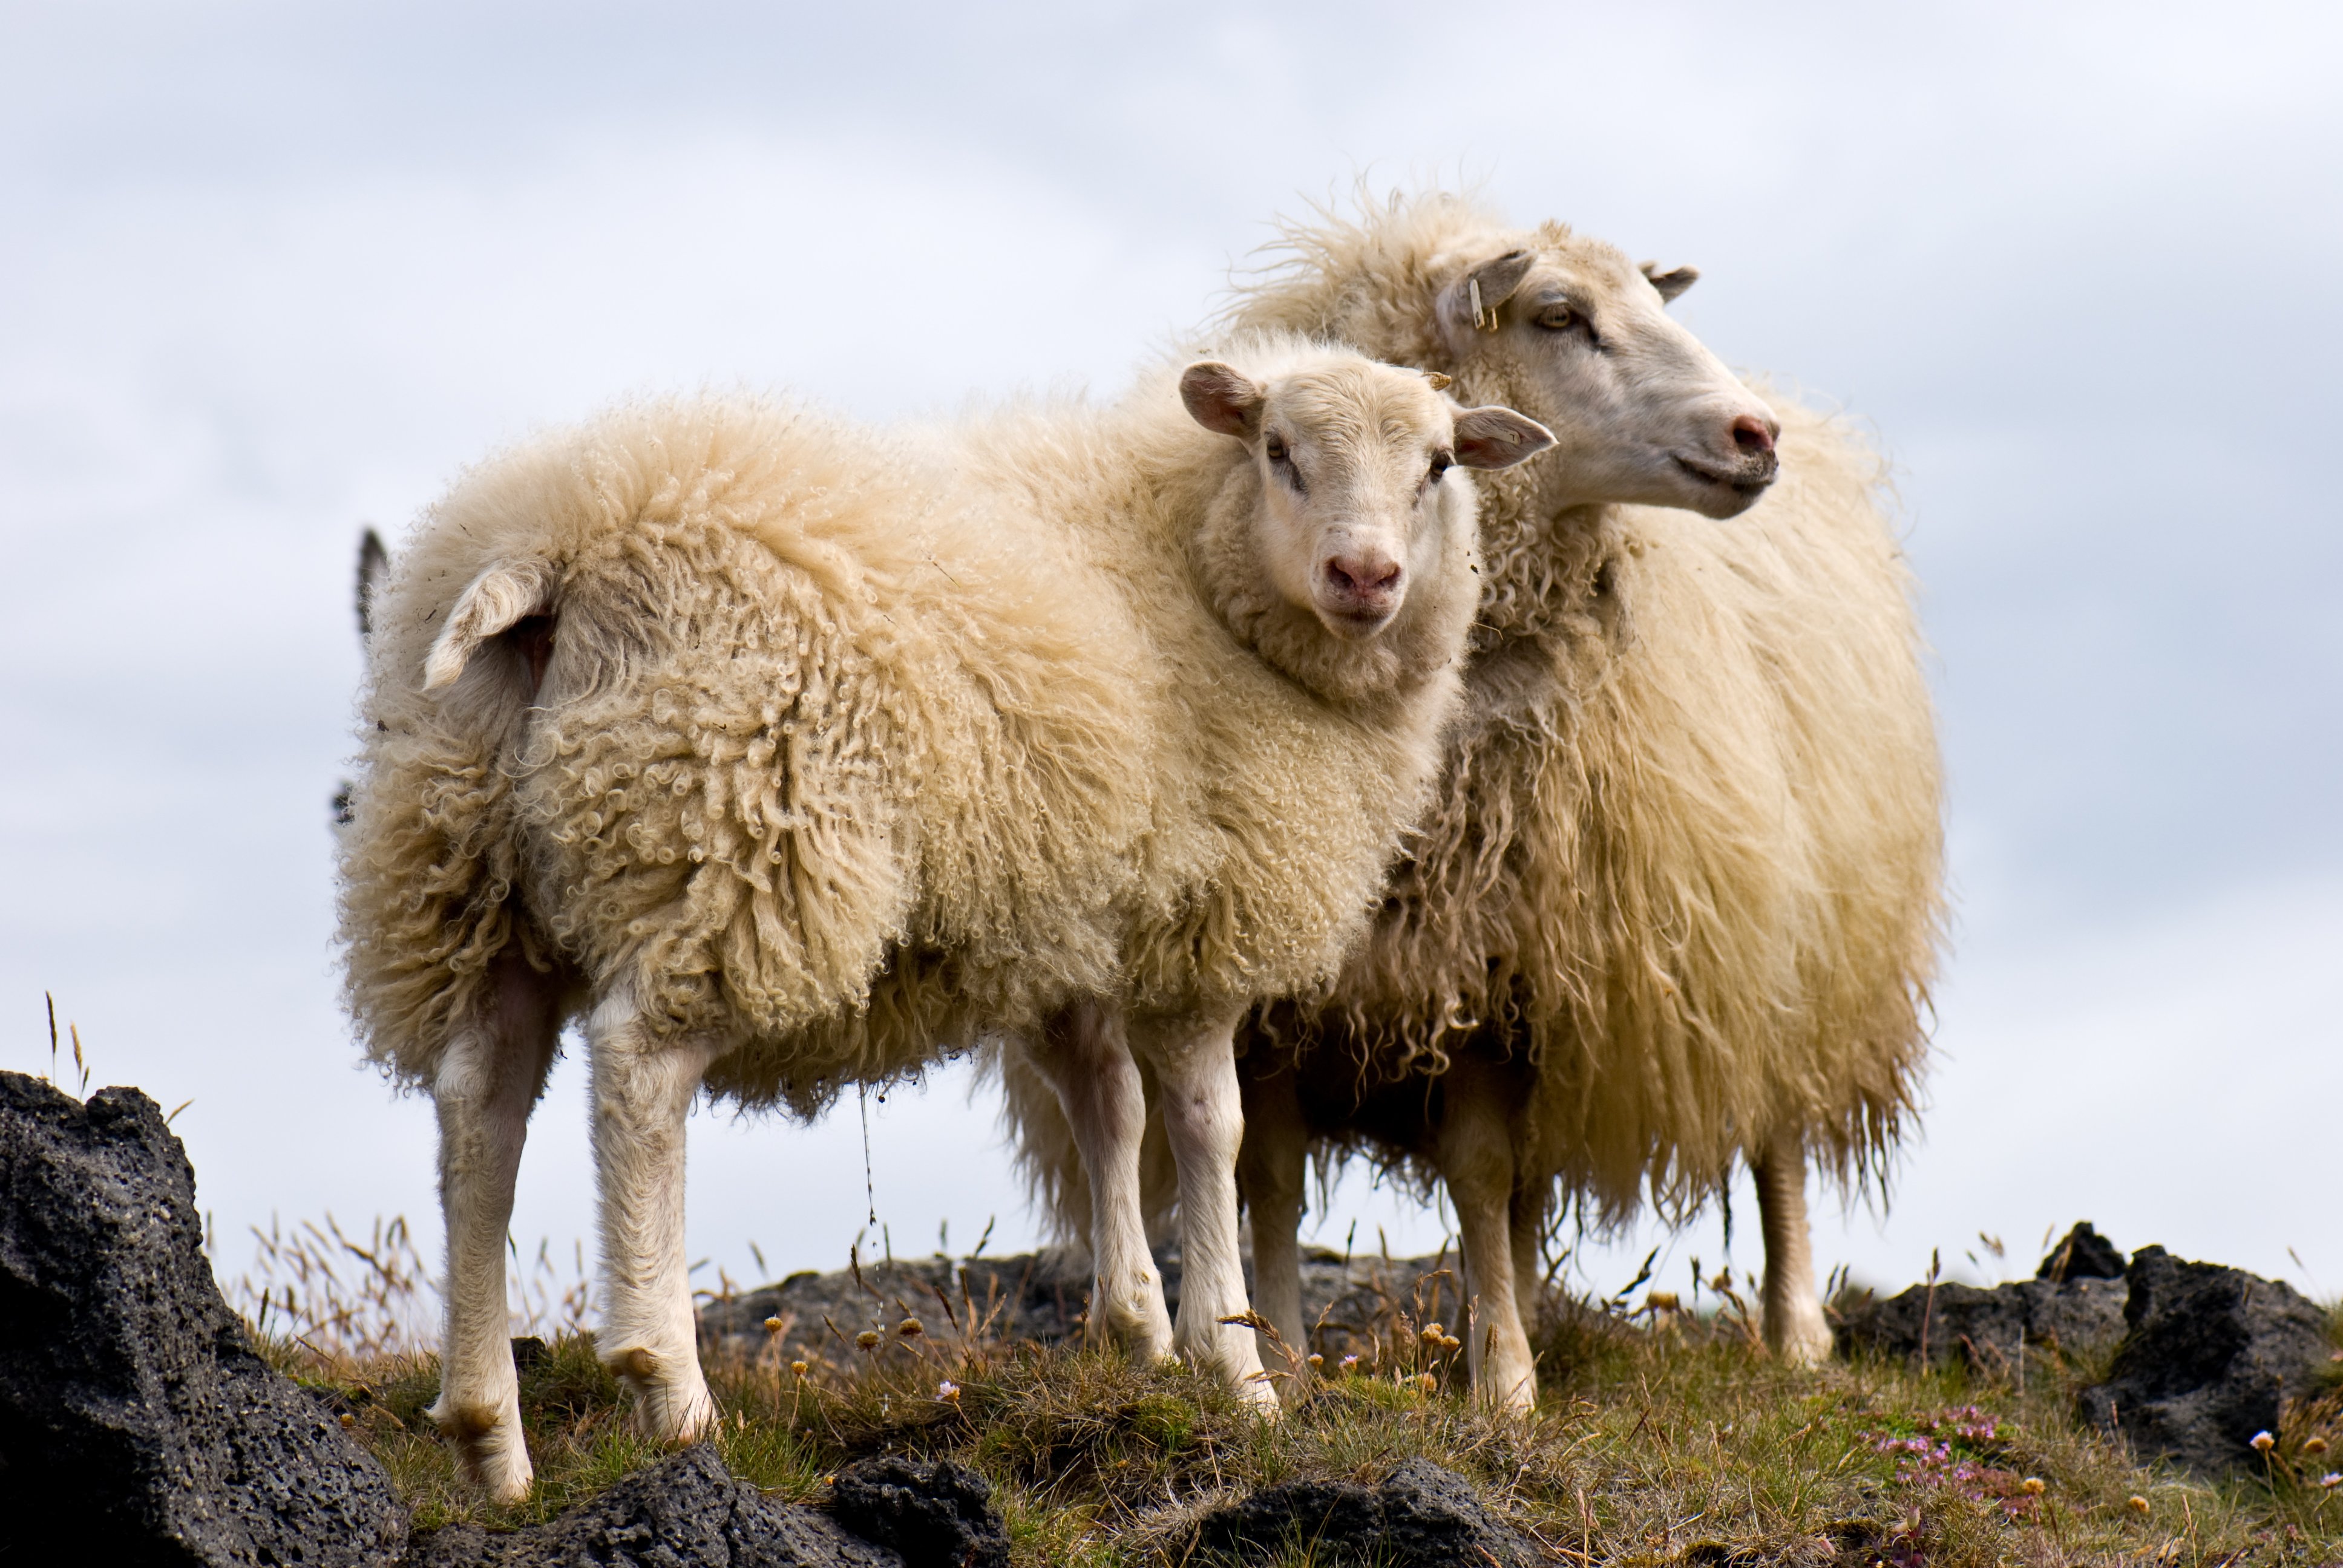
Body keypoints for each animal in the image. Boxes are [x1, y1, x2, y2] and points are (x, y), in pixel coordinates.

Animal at [337, 332, 1555, 1497]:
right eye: (1279, 451)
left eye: (1438, 464)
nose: (1366, 575)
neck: (1190, 560)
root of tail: (550, 550)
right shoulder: (1203, 925)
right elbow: (1210, 1128)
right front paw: (1236, 1368)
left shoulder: (1075, 918)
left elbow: (1106, 1106)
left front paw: (1137, 1333)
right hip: (727, 832)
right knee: (640, 1075)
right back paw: (670, 1388)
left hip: (463, 870)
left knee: (481, 1104)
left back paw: (491, 1438)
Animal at [1000, 191, 1945, 1408]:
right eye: (1558, 314)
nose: (1756, 435)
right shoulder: (1294, 981)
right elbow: (1270, 1172)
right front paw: (1290, 1356)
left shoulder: (1504, 963)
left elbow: (1482, 1168)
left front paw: (1504, 1386)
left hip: (1791, 948)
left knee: (1770, 1131)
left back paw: (1793, 1337)